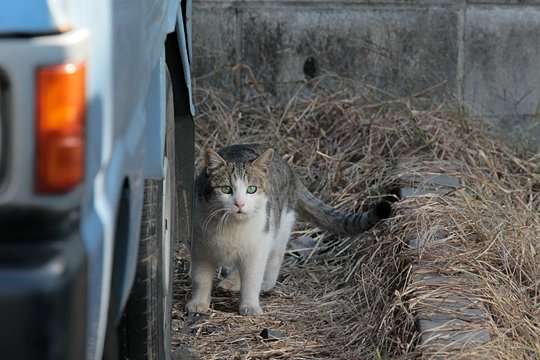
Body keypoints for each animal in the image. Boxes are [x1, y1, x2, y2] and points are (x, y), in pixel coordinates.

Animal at [186, 143, 392, 316]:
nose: (239, 204)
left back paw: (260, 283)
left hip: (279, 228)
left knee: (273, 258)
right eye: (226, 189)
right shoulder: (200, 249)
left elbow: (252, 280)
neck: (231, 227)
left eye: (251, 189)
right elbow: (201, 279)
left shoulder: (257, 248)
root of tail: (288, 168)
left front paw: (250, 306)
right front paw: (198, 303)